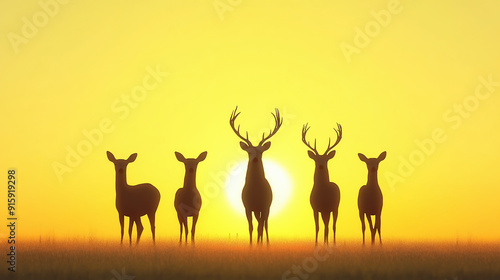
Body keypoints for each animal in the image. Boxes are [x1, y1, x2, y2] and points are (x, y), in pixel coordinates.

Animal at [229, 106, 284, 244]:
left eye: (261, 151)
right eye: (249, 152)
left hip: (267, 207)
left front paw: (260, 244)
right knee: (260, 223)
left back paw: (266, 243)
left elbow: (261, 226)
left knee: (265, 224)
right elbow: (251, 227)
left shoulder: (264, 206)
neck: (255, 190)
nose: (255, 159)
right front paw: (251, 244)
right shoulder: (248, 207)